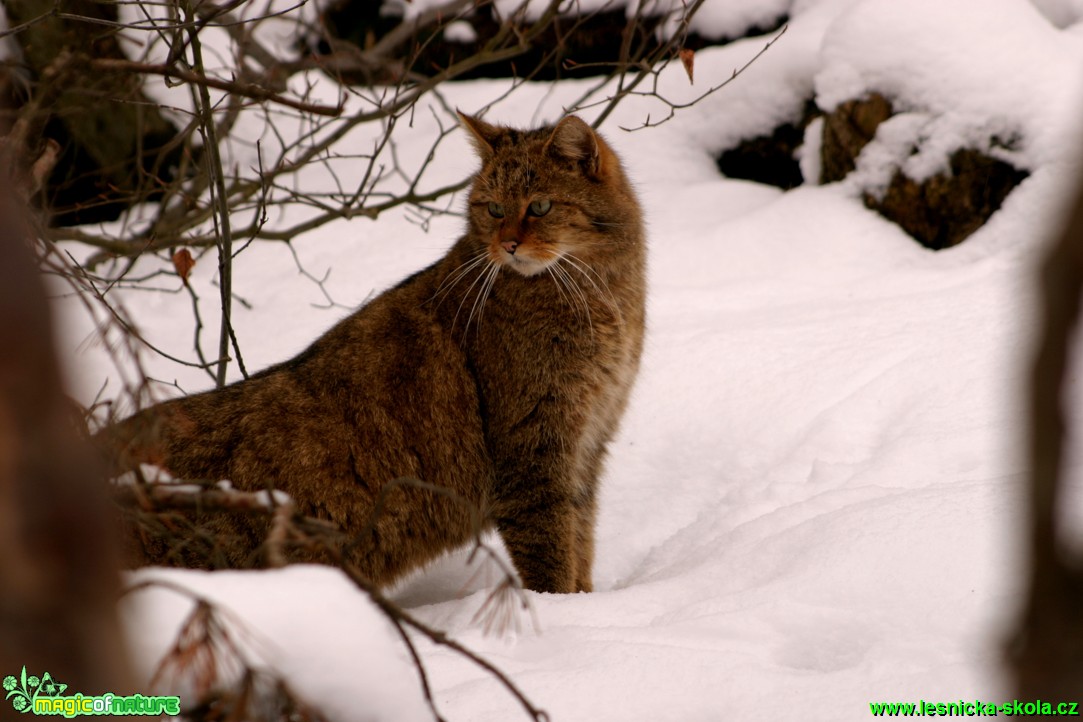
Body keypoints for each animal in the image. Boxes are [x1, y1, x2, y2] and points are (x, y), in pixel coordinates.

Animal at [99, 114, 641, 593]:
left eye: (541, 206)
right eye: (492, 209)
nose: (506, 244)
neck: (602, 299)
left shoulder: (587, 447)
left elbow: (580, 541)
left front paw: (586, 603)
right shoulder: (533, 455)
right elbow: (551, 555)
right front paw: (560, 614)